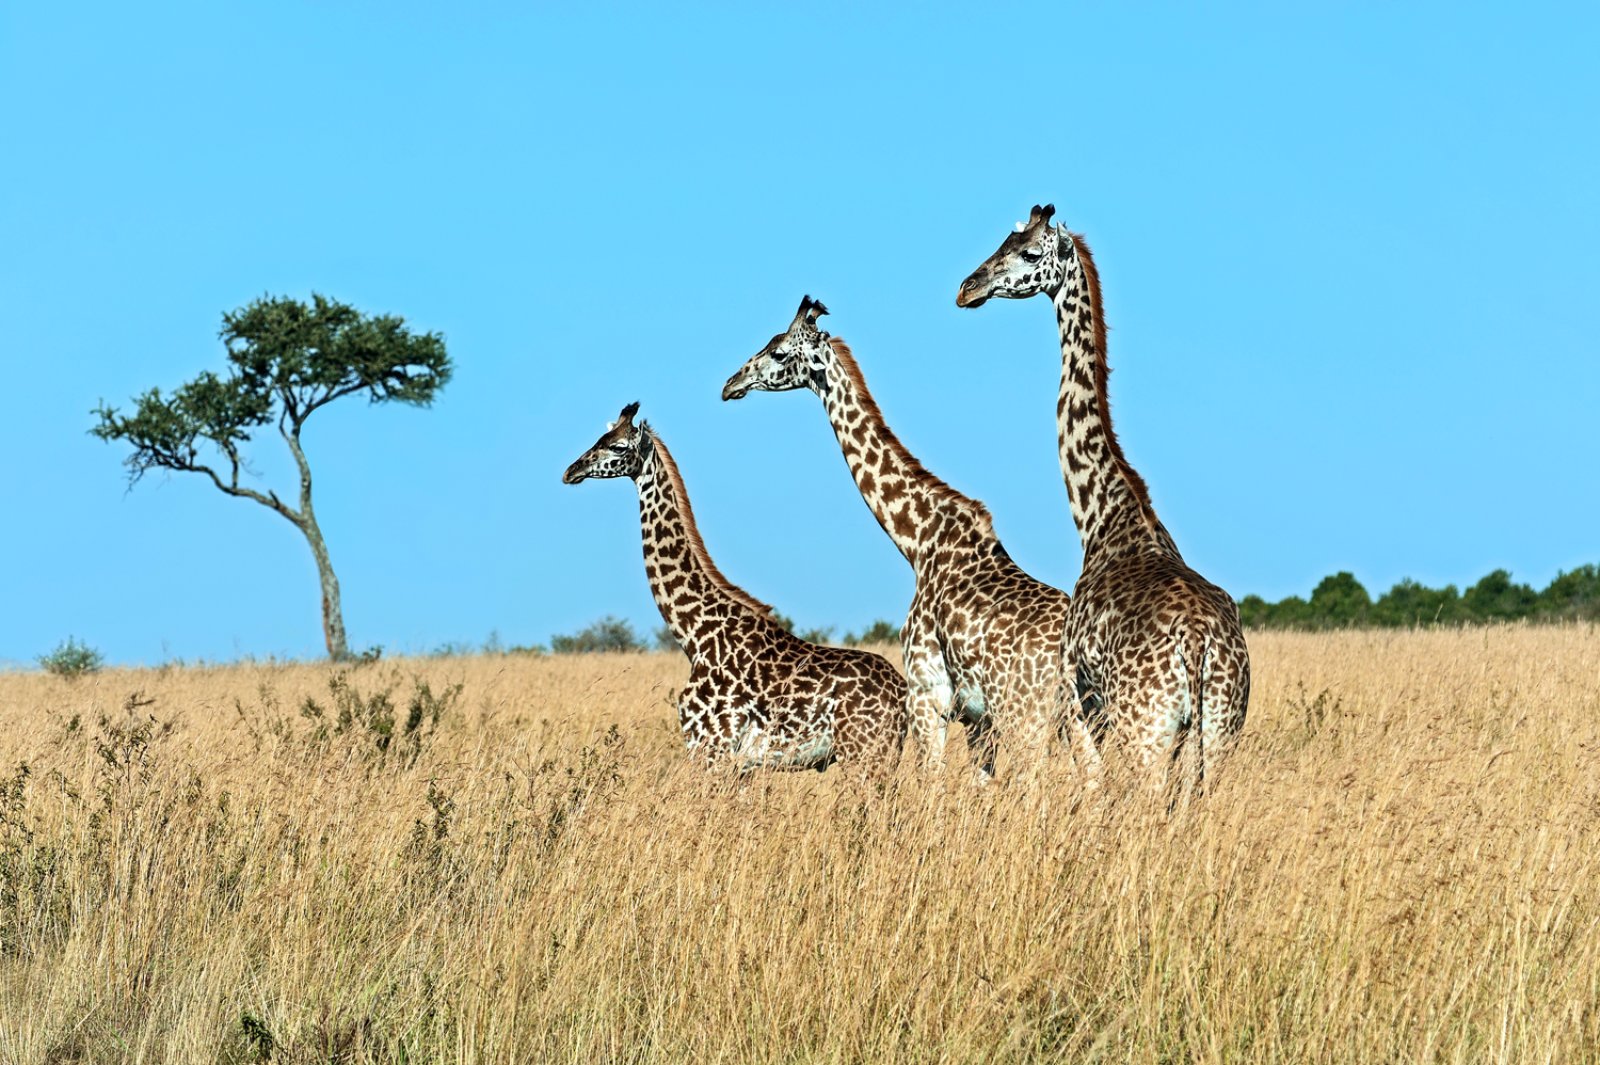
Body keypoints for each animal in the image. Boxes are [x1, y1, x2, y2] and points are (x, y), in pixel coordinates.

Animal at [569, 402, 908, 767]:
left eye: (618, 447)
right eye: (599, 438)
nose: (572, 470)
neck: (694, 634)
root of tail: (903, 694)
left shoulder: (710, 747)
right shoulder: (737, 764)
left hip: (865, 751)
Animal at [723, 294, 1088, 777]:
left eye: (780, 352)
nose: (730, 384)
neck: (919, 541)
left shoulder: (927, 695)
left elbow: (930, 780)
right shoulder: (975, 717)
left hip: (1025, 712)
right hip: (1076, 714)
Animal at [947, 203, 1248, 793]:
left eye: (1029, 253)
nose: (967, 288)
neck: (1103, 513)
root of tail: (1198, 642)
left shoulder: (1080, 699)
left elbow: (1090, 785)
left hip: (1146, 730)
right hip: (1220, 731)